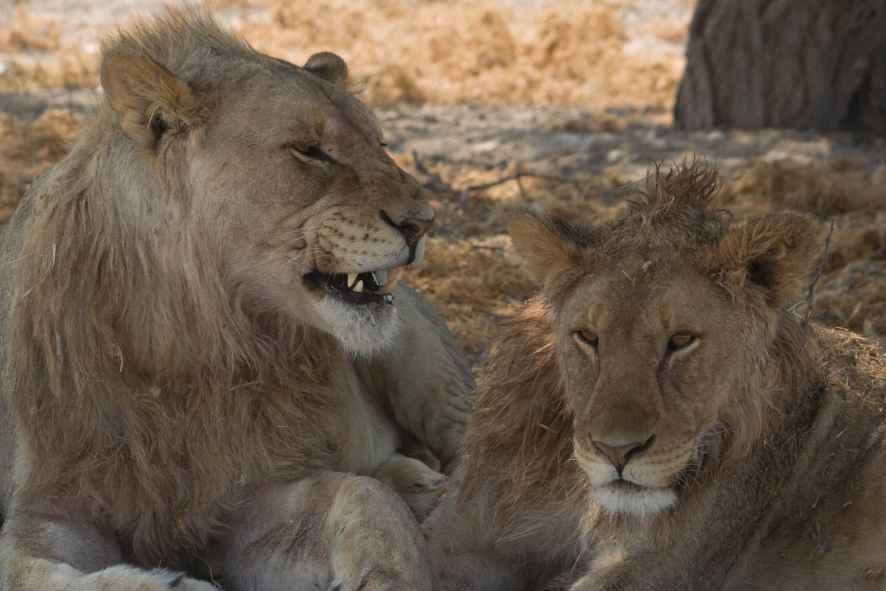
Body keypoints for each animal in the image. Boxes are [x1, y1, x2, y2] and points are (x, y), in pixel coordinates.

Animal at [0, 8, 476, 591]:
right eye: (310, 150)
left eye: (381, 144)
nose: (423, 223)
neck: (192, 338)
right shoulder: (50, 504)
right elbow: (32, 570)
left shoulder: (238, 501)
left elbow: (363, 496)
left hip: (428, 370)